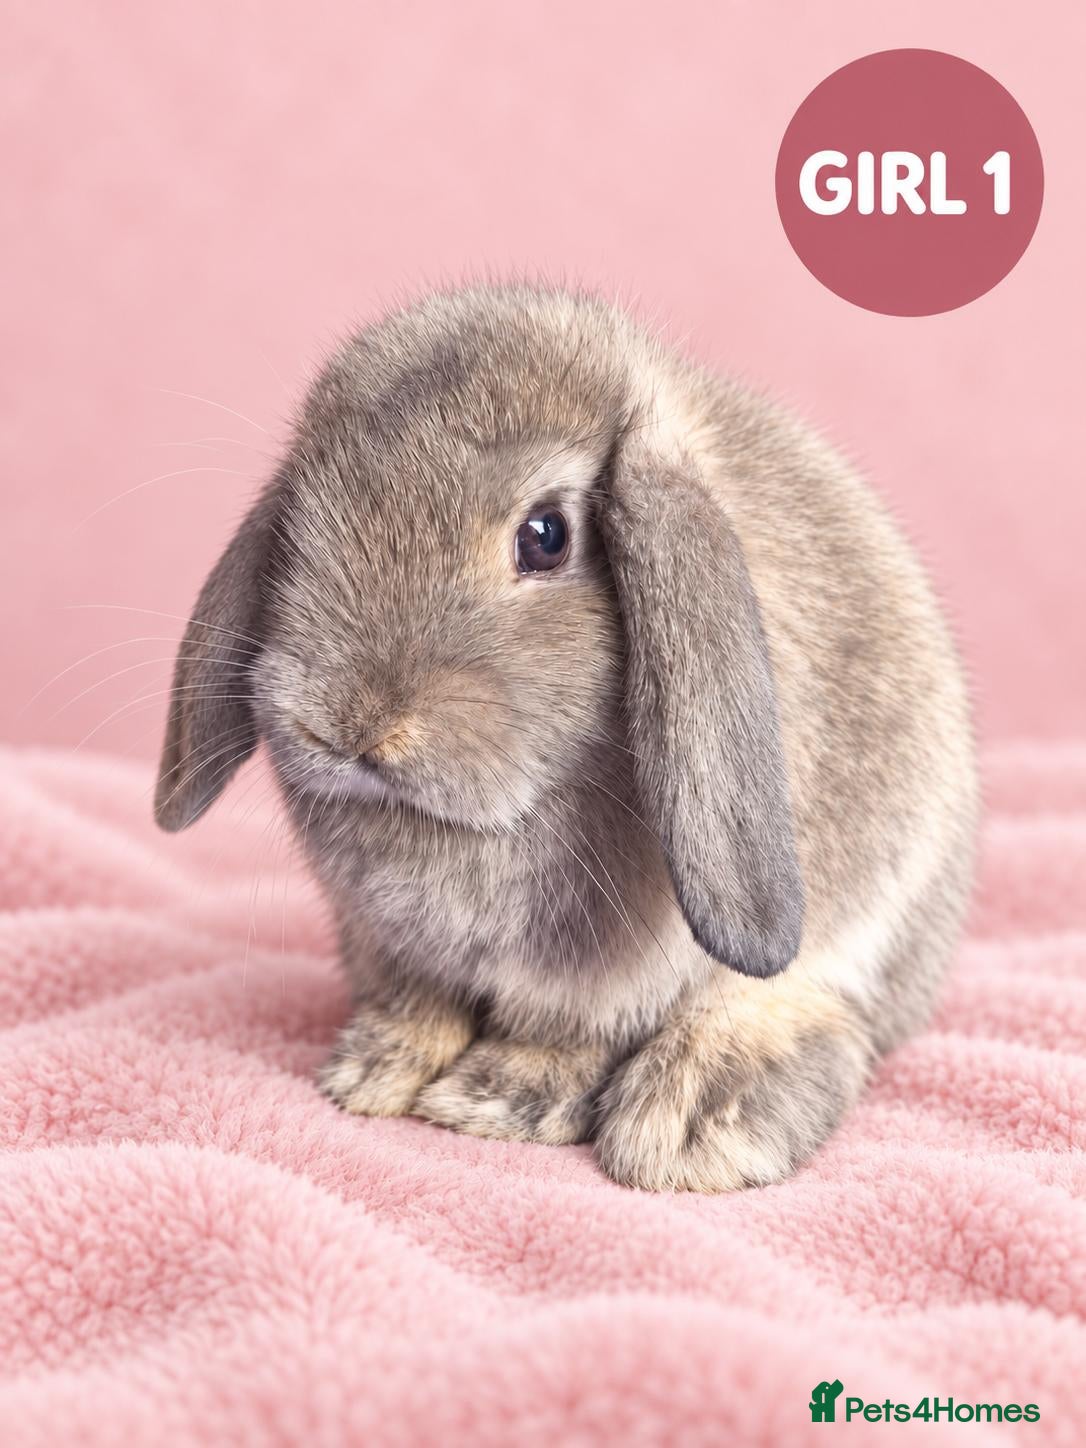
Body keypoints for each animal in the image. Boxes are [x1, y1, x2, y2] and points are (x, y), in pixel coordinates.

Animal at [154, 283, 978, 1192]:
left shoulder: (598, 987)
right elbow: (420, 1007)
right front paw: (371, 1072)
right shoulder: (392, 950)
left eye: (545, 535)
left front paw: (493, 1100)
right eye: (302, 519)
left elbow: (564, 1037)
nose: (349, 725)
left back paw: (687, 1127)